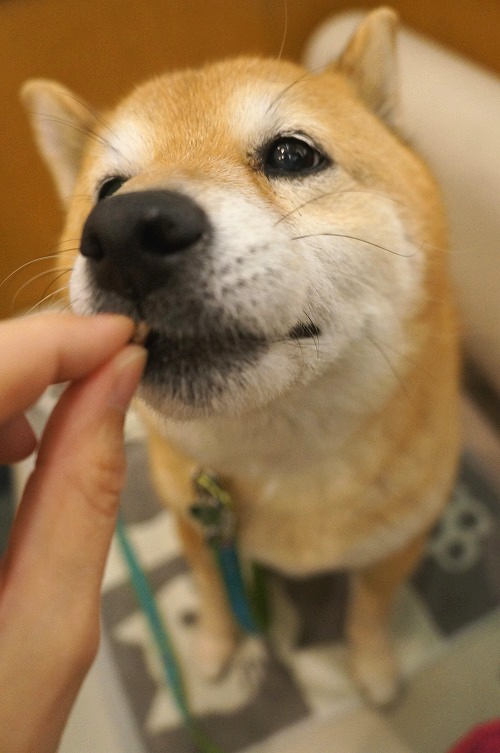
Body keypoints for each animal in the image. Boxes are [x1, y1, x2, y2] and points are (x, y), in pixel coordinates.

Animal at [22, 7, 460, 706]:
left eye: (292, 154)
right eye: (108, 189)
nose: (123, 233)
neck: (283, 458)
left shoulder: (399, 545)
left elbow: (370, 609)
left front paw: (372, 667)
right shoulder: (194, 526)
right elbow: (212, 592)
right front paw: (214, 647)